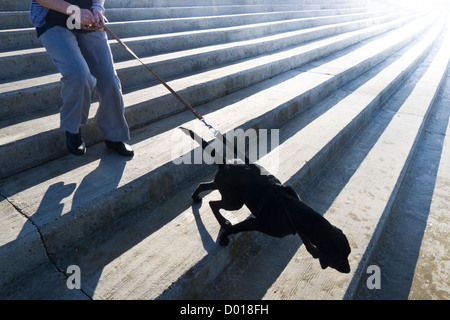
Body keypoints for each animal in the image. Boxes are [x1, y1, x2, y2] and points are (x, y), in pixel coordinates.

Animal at [179, 127, 352, 272]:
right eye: (340, 258)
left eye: (348, 254)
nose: (348, 270)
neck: (291, 210)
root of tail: (224, 163)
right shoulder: (256, 223)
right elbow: (236, 228)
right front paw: (224, 236)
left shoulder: (297, 227)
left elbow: (305, 239)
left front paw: (313, 251)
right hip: (234, 201)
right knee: (213, 203)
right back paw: (223, 222)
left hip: (226, 190)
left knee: (203, 185)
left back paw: (196, 197)